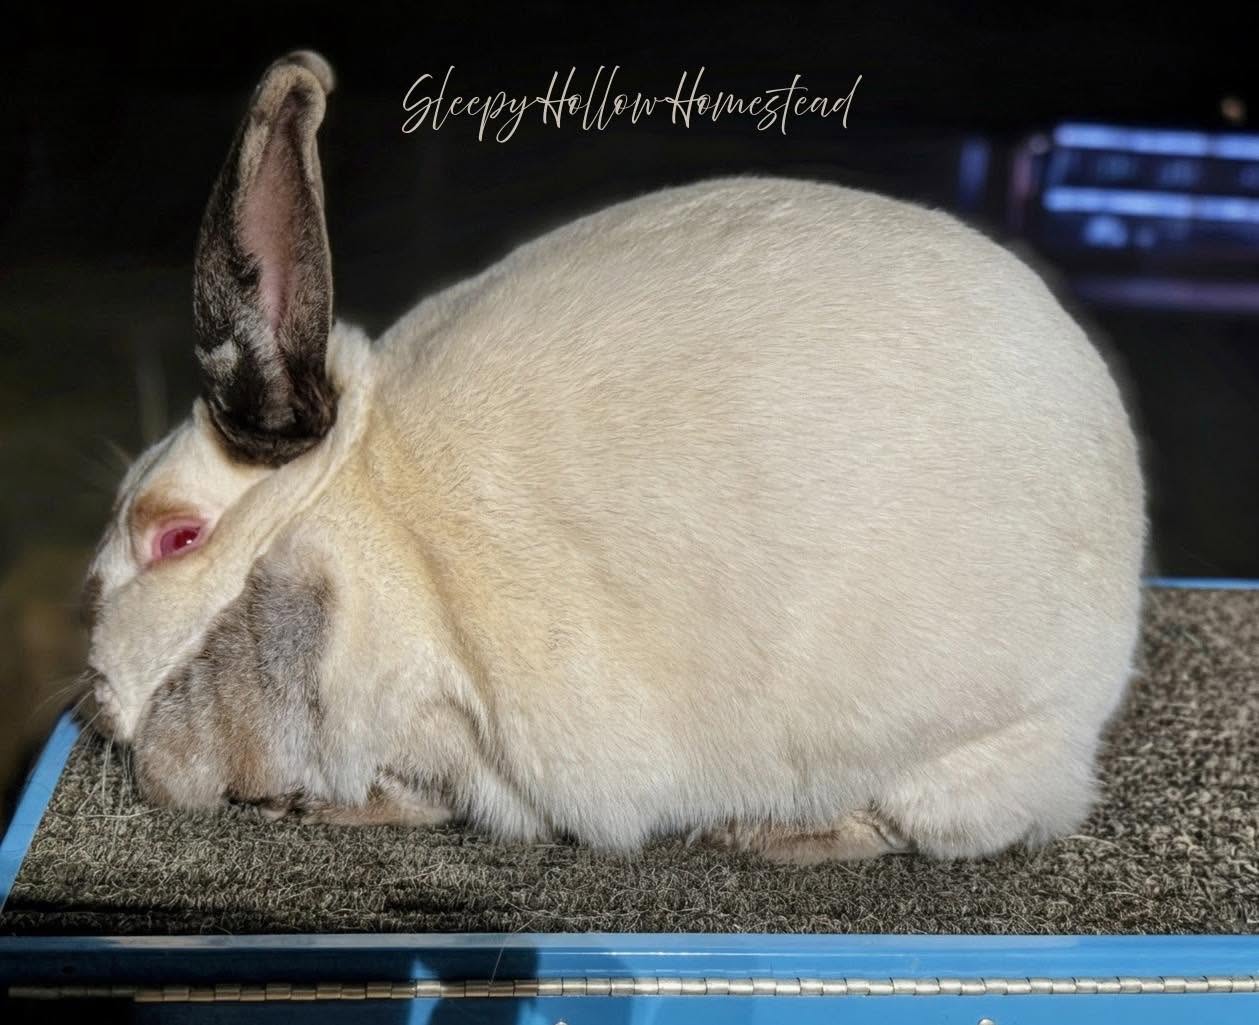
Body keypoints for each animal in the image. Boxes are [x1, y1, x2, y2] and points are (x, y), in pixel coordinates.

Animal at [80, 50, 1145, 864]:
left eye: (175, 538)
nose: (95, 696)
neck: (348, 512)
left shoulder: (422, 702)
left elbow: (422, 783)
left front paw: (321, 804)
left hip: (959, 740)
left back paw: (775, 835)